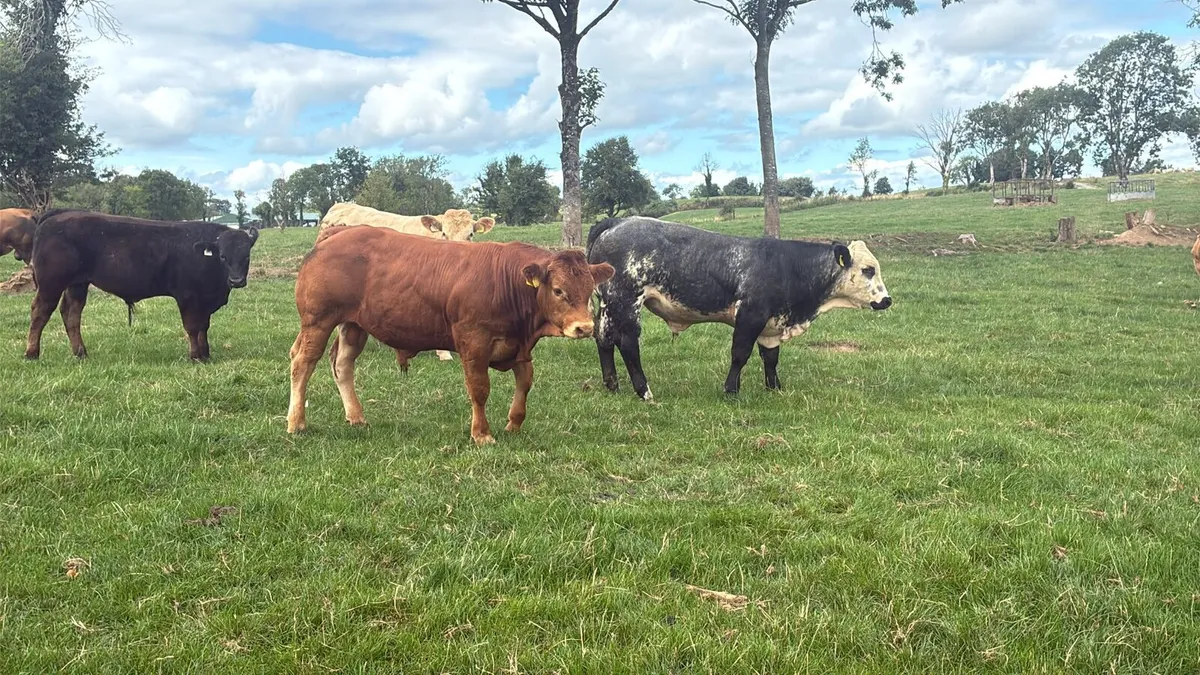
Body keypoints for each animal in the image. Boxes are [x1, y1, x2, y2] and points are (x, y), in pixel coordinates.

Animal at [25, 210, 259, 361]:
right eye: (223, 256)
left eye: (246, 256)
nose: (236, 280)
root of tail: (58, 215)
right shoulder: (187, 296)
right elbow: (192, 327)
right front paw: (195, 356)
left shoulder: (204, 300)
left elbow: (204, 326)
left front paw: (206, 353)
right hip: (50, 284)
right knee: (40, 312)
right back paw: (31, 353)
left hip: (77, 284)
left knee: (71, 314)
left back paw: (81, 353)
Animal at [286, 224, 614, 444]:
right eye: (558, 290)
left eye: (589, 289)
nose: (584, 327)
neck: (506, 281)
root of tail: (338, 232)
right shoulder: (473, 343)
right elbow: (479, 389)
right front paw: (482, 434)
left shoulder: (520, 347)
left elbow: (524, 384)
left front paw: (514, 424)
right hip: (318, 321)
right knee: (303, 363)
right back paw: (296, 422)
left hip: (354, 325)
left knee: (342, 364)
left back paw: (356, 417)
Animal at [585, 217, 892, 400]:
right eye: (868, 270)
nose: (887, 300)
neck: (787, 266)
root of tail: (618, 221)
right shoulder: (750, 316)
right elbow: (740, 354)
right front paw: (731, 390)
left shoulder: (771, 325)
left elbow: (771, 358)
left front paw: (774, 388)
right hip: (627, 302)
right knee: (628, 344)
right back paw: (644, 390)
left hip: (609, 305)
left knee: (604, 339)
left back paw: (612, 384)